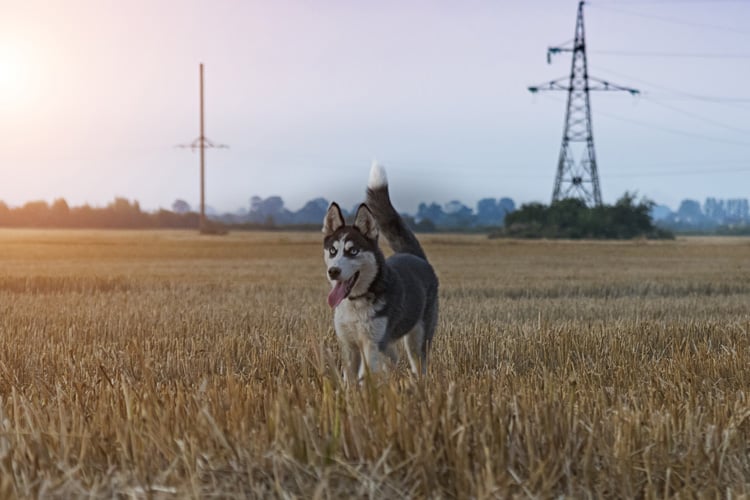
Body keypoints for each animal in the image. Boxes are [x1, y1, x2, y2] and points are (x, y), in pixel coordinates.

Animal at [324, 162, 440, 380]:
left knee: (418, 364)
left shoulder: (372, 344)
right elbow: (349, 379)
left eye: (353, 251)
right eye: (333, 251)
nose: (333, 271)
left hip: (417, 340)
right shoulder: (349, 346)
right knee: (393, 356)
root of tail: (415, 256)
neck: (356, 302)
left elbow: (366, 376)